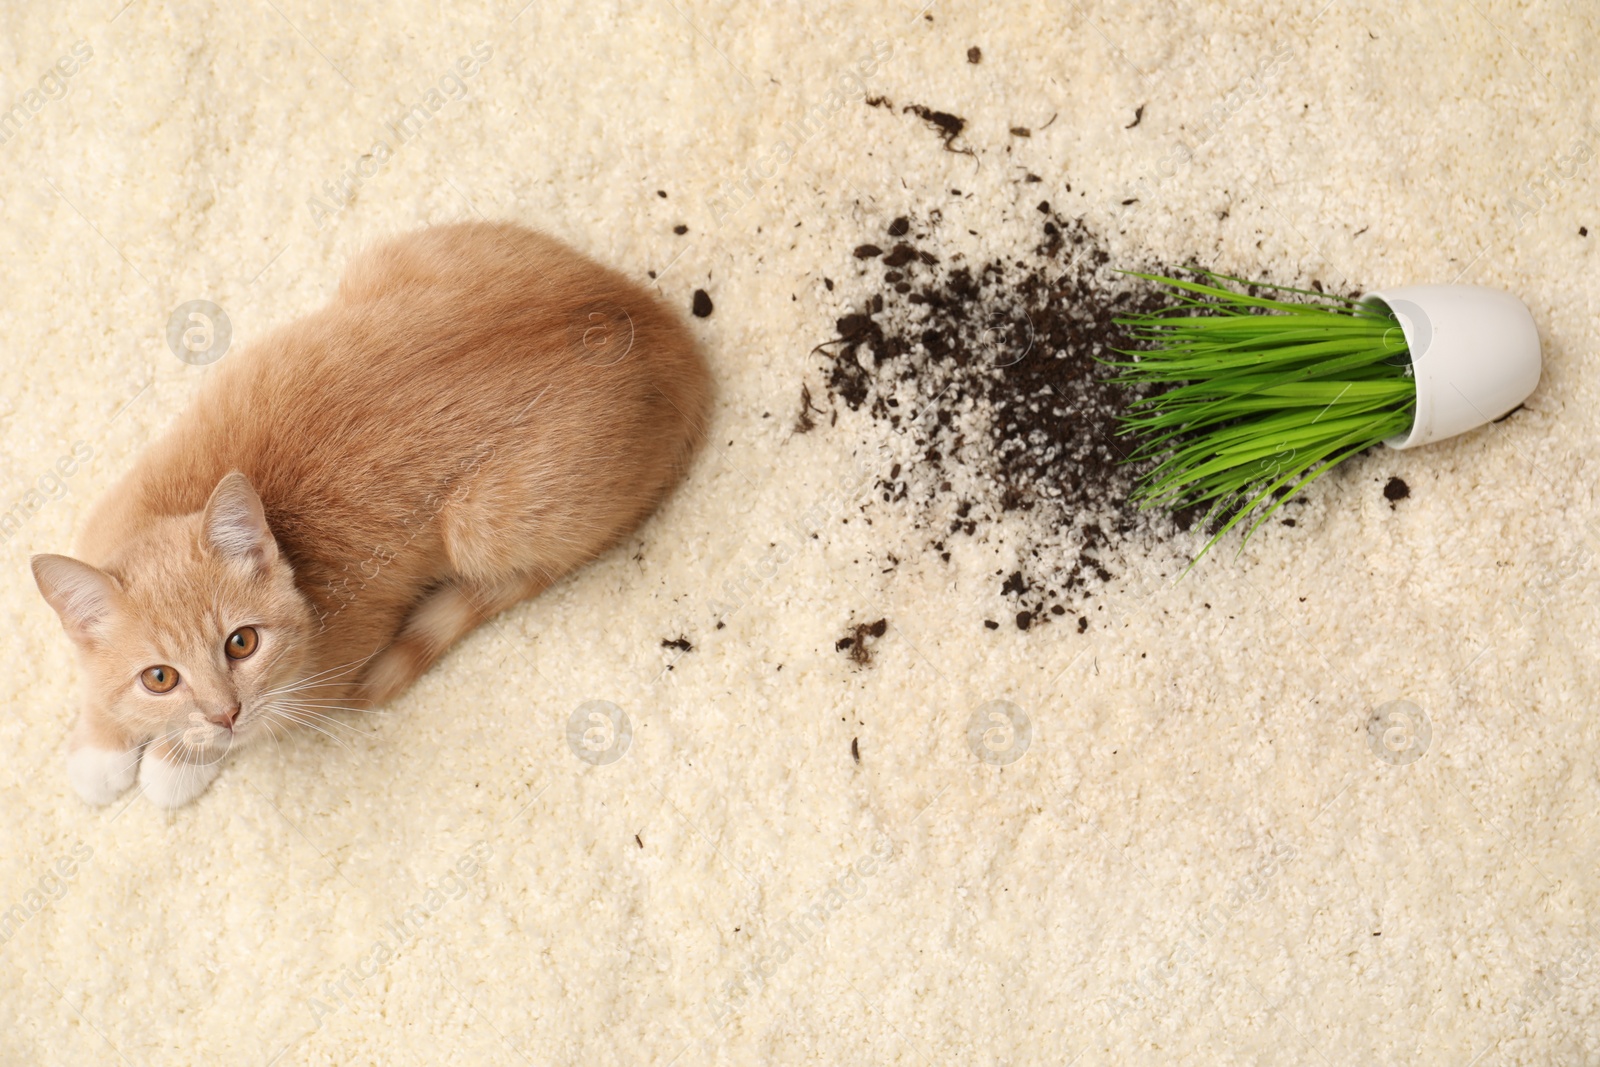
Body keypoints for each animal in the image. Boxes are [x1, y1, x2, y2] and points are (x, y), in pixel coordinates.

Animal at [28, 225, 707, 809]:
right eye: (160, 678)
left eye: (242, 643)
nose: (224, 712)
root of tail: (665, 334)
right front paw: (103, 746)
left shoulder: (327, 672)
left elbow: (254, 730)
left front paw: (173, 762)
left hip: (485, 528)